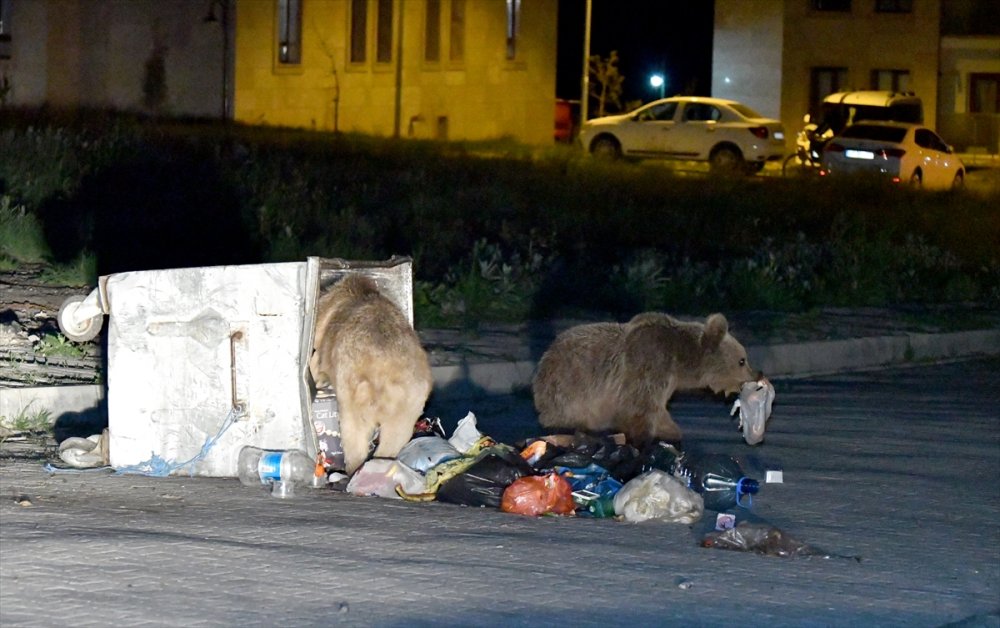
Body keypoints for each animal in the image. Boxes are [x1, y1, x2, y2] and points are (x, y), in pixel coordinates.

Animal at [536, 314, 752, 446]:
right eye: (742, 360)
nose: (754, 376)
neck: (681, 361)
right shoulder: (649, 365)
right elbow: (641, 407)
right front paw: (659, 436)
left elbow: (656, 409)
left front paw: (668, 431)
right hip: (566, 394)